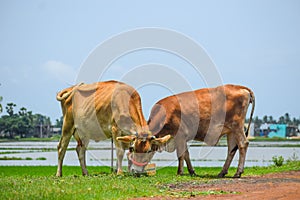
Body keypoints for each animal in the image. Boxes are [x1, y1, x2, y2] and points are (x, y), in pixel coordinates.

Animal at [118, 84, 254, 178]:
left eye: (148, 150)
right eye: (133, 148)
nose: (135, 171)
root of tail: (239, 87)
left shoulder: (180, 135)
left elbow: (180, 155)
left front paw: (180, 172)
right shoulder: (181, 138)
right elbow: (186, 154)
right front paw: (192, 171)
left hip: (237, 126)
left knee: (243, 144)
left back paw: (238, 172)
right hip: (231, 131)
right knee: (231, 149)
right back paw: (222, 172)